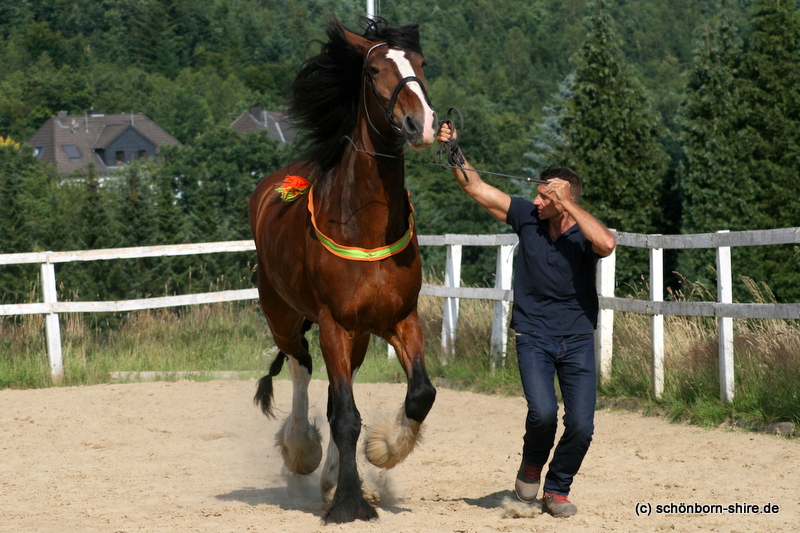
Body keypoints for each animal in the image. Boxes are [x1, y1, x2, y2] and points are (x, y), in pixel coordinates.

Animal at [250, 17, 438, 524]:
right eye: (373, 70)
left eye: (420, 63)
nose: (422, 124)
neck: (365, 225)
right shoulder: (334, 323)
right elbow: (345, 416)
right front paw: (349, 504)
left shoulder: (399, 319)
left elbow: (419, 394)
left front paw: (382, 450)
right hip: (283, 315)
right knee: (300, 367)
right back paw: (301, 450)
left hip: (358, 337)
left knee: (338, 391)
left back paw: (330, 476)